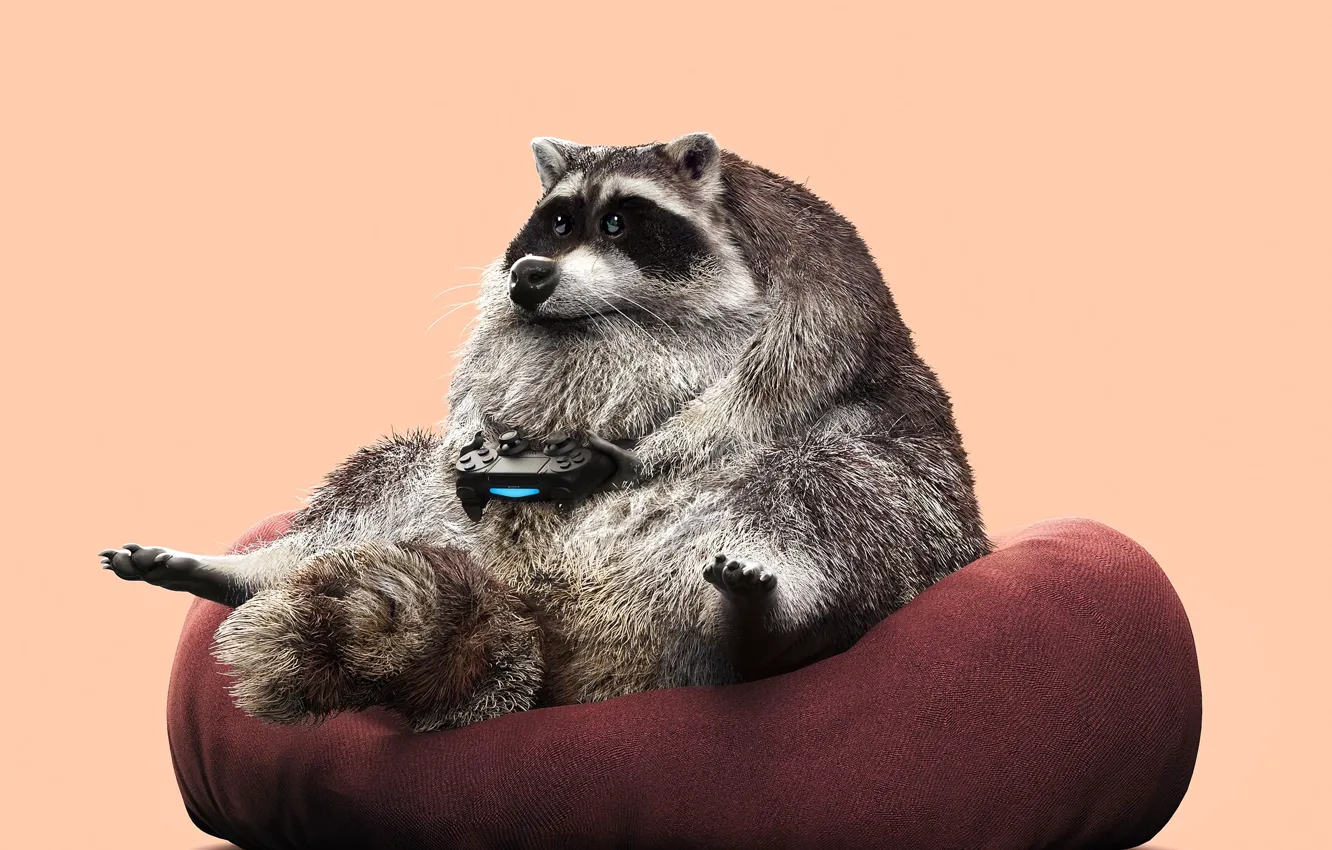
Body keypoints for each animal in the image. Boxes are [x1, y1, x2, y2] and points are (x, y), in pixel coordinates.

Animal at [100, 132, 991, 732]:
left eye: (620, 223)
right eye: (556, 222)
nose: (530, 277)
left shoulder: (821, 268)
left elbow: (774, 385)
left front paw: (646, 448)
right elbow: (476, 386)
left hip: (899, 512)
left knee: (835, 487)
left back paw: (766, 630)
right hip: (443, 525)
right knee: (387, 480)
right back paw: (251, 570)